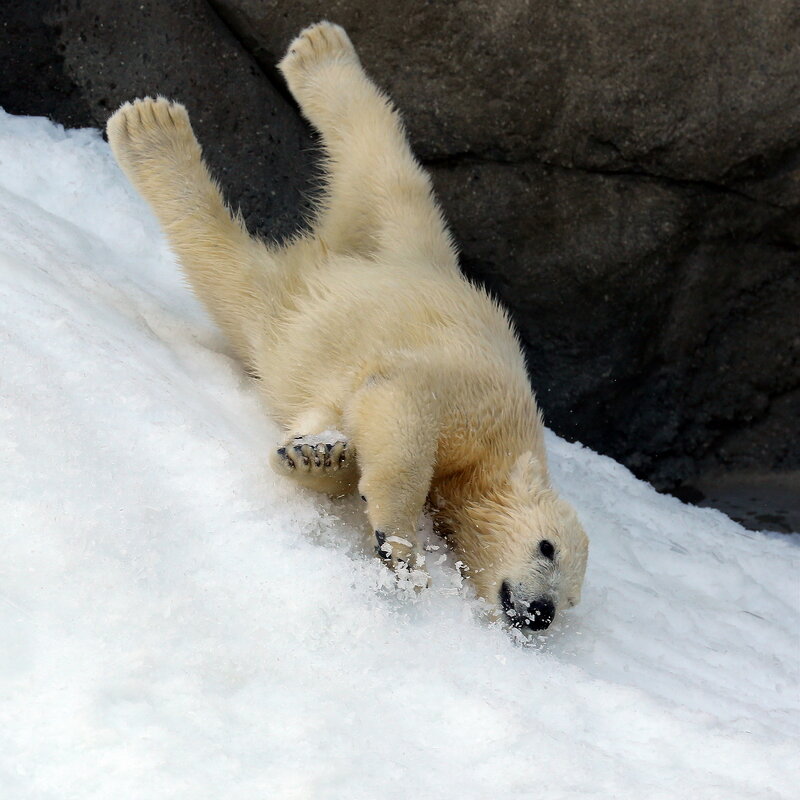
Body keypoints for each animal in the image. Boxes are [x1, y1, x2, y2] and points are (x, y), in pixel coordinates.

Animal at [106, 21, 588, 632]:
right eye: (548, 547)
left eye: (570, 602)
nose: (539, 613)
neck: (495, 461)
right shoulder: (483, 406)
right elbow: (403, 406)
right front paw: (402, 552)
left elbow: (341, 420)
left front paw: (316, 456)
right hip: (319, 305)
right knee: (239, 276)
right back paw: (153, 131)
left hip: (405, 238)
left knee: (383, 169)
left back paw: (317, 54)